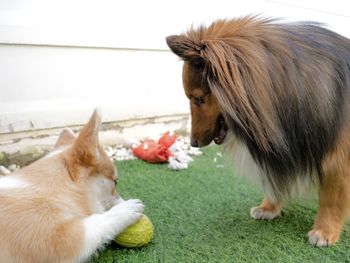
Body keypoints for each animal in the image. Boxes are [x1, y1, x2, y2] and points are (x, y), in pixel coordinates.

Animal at [166, 16, 350, 248]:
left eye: (198, 99)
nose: (193, 143)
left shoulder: (339, 159)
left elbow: (331, 198)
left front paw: (324, 231)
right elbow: (275, 180)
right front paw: (268, 207)